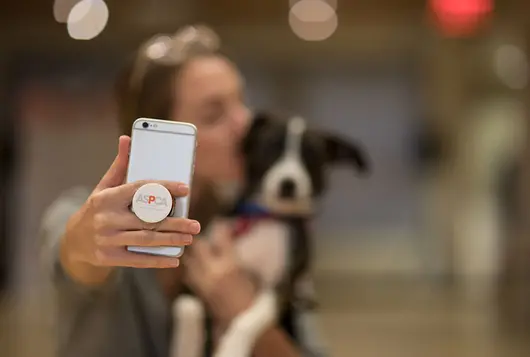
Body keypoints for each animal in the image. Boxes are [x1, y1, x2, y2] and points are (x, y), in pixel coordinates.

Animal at [169, 110, 368, 356]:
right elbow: (186, 308)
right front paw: (185, 347)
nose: (288, 184)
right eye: (272, 146)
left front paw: (232, 349)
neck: (264, 217)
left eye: (311, 155)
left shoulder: (281, 285)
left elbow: (250, 317)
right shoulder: (193, 276)